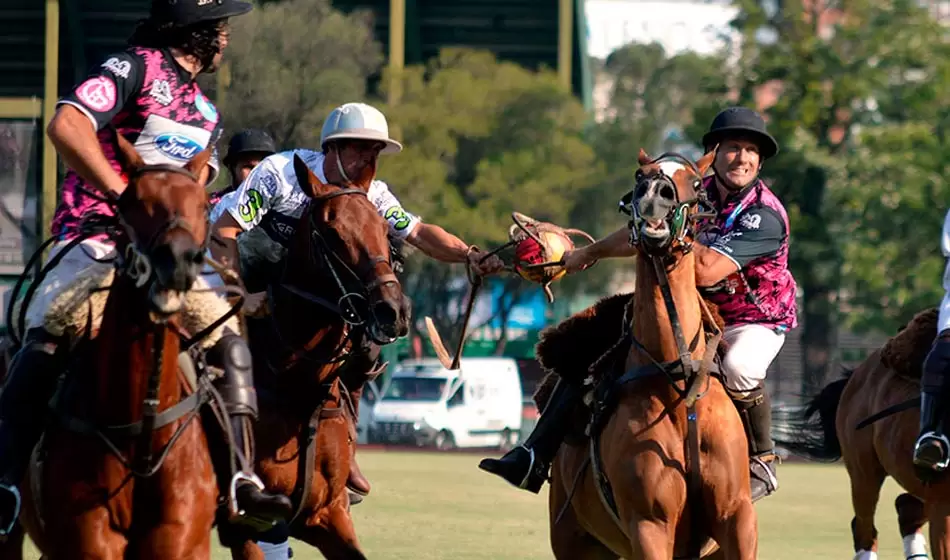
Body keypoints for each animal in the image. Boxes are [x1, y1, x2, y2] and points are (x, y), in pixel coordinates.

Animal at [0, 133, 228, 556]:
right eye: (130, 203)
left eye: (204, 205)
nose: (178, 262)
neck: (142, 430)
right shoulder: (87, 542)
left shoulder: (182, 541)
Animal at [228, 154, 412, 560]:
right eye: (331, 232)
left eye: (383, 227)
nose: (393, 310)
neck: (296, 386)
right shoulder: (242, 522)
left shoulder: (327, 513)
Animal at [544, 150, 760, 560]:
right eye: (638, 176)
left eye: (696, 182)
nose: (653, 197)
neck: (678, 376)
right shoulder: (649, 524)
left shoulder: (736, 517)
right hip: (572, 537)